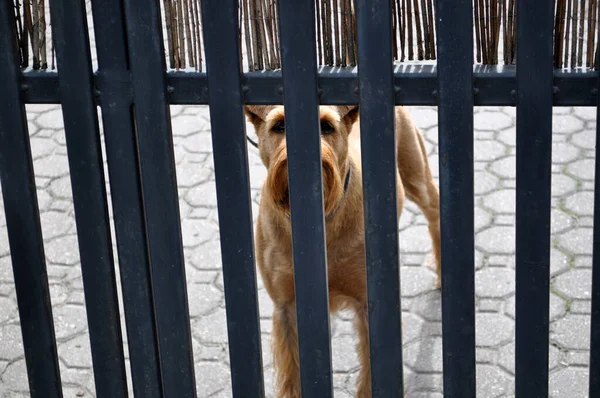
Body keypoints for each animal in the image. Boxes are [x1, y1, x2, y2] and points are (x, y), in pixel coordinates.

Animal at [244, 105, 440, 398]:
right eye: (279, 125)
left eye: (327, 126)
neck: (320, 220)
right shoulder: (286, 308)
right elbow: (293, 374)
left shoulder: (368, 304)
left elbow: (370, 373)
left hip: (416, 173)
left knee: (435, 215)